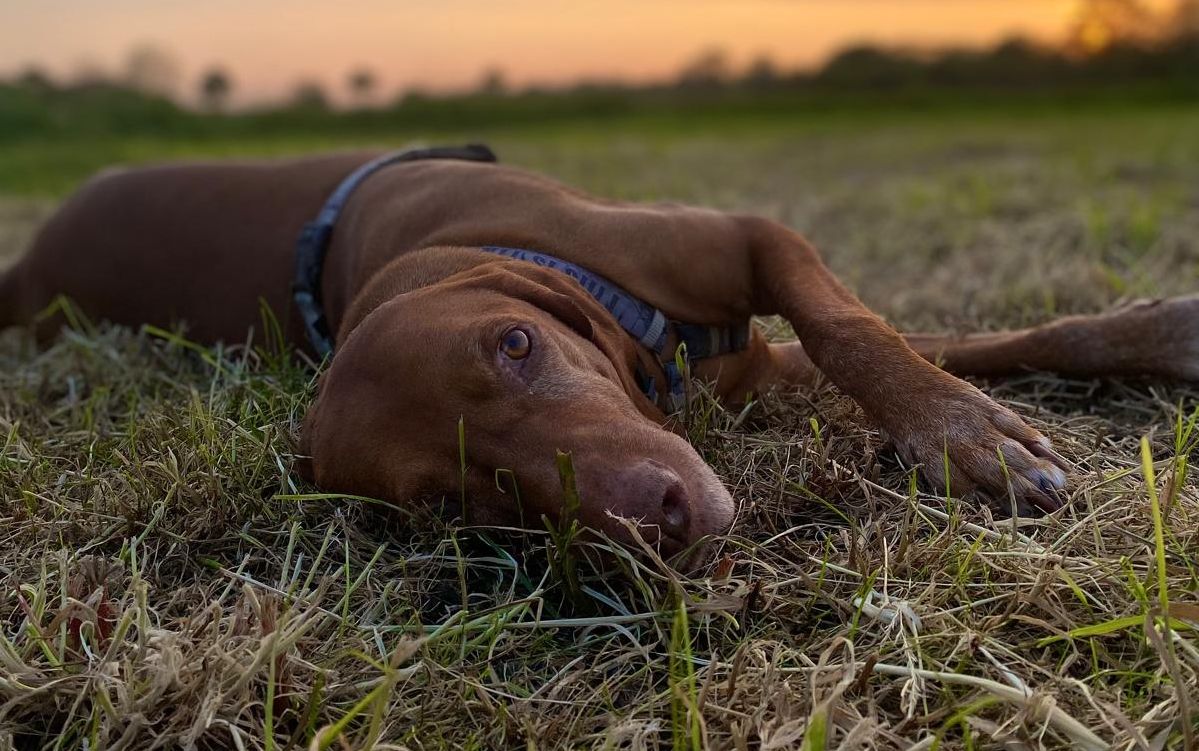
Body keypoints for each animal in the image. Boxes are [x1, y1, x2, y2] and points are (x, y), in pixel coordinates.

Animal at [2, 144, 1199, 561]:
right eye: (455, 503)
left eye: (516, 342)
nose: (660, 518)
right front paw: (962, 425)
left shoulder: (748, 246)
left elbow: (870, 331)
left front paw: (963, 429)